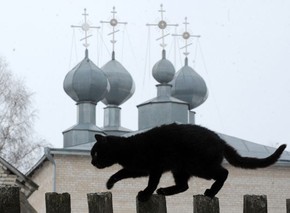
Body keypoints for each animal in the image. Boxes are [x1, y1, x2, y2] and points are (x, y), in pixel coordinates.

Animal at [90, 123, 286, 201]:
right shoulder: (138, 169)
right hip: (181, 169)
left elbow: (151, 182)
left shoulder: (154, 167)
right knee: (184, 186)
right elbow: (120, 172)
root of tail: (220, 140)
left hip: (199, 166)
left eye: (96, 153)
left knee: (224, 172)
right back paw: (165, 191)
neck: (128, 148)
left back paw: (210, 192)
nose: (92, 163)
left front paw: (145, 194)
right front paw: (109, 183)